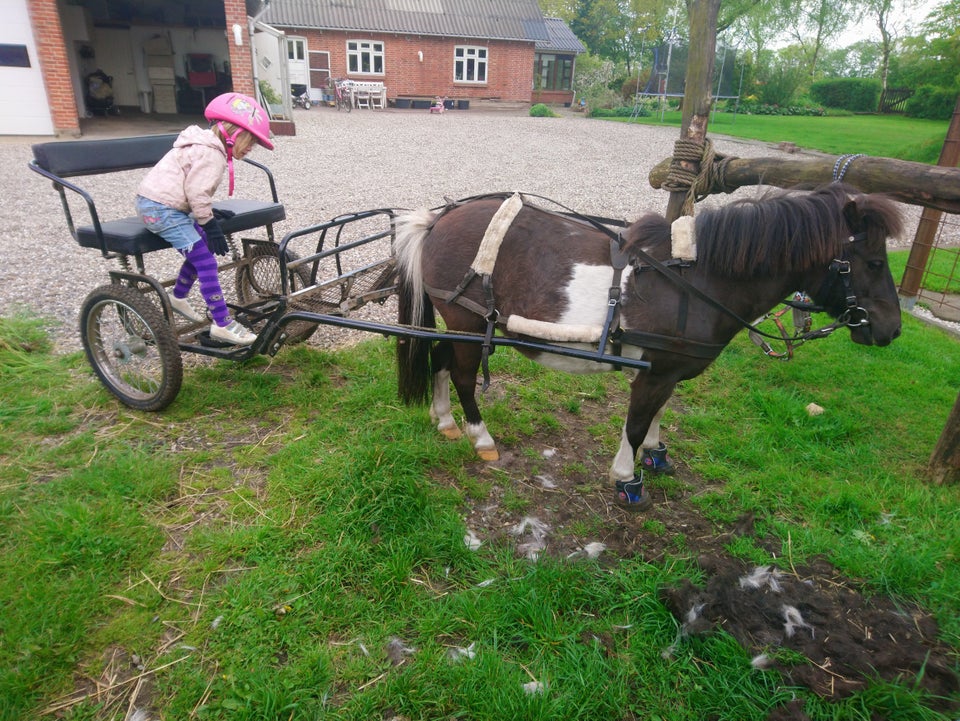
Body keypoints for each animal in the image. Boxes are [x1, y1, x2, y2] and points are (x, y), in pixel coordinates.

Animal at [394, 186, 904, 512]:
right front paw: (628, 478)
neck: (696, 281)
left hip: (462, 324)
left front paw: (657, 455)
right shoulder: (654, 372)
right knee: (463, 376)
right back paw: (481, 437)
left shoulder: (669, 371)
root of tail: (437, 219)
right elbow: (637, 423)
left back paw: (444, 420)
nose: (891, 330)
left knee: (440, 360)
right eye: (873, 262)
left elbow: (659, 414)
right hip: (467, 321)